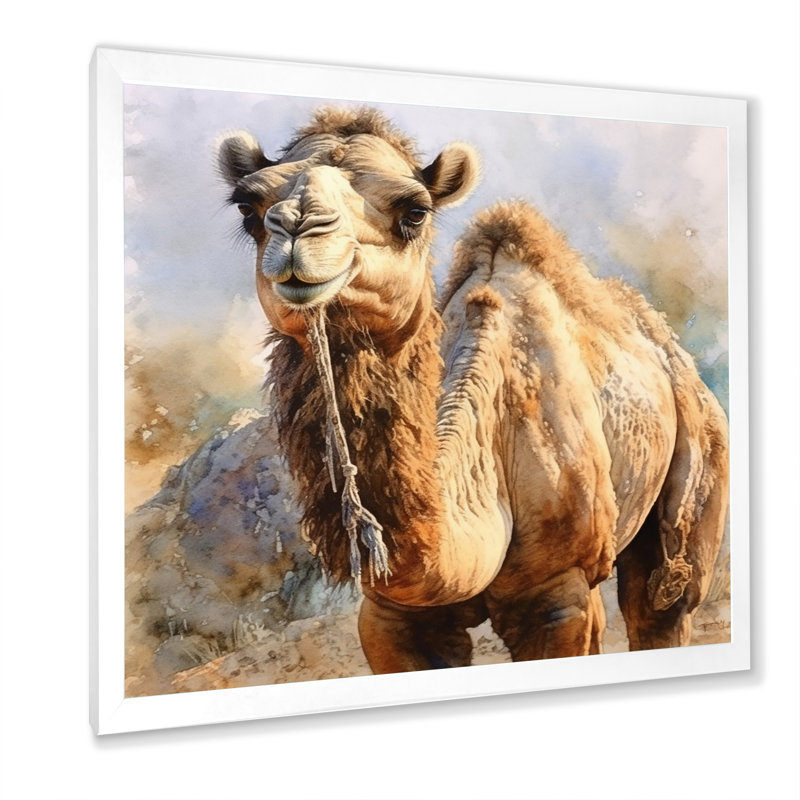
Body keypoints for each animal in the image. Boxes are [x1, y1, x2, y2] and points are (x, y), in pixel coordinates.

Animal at [216, 107, 729, 671]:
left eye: (414, 212)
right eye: (247, 207)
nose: (299, 227)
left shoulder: (561, 590)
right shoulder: (391, 612)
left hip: (701, 461)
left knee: (661, 601)